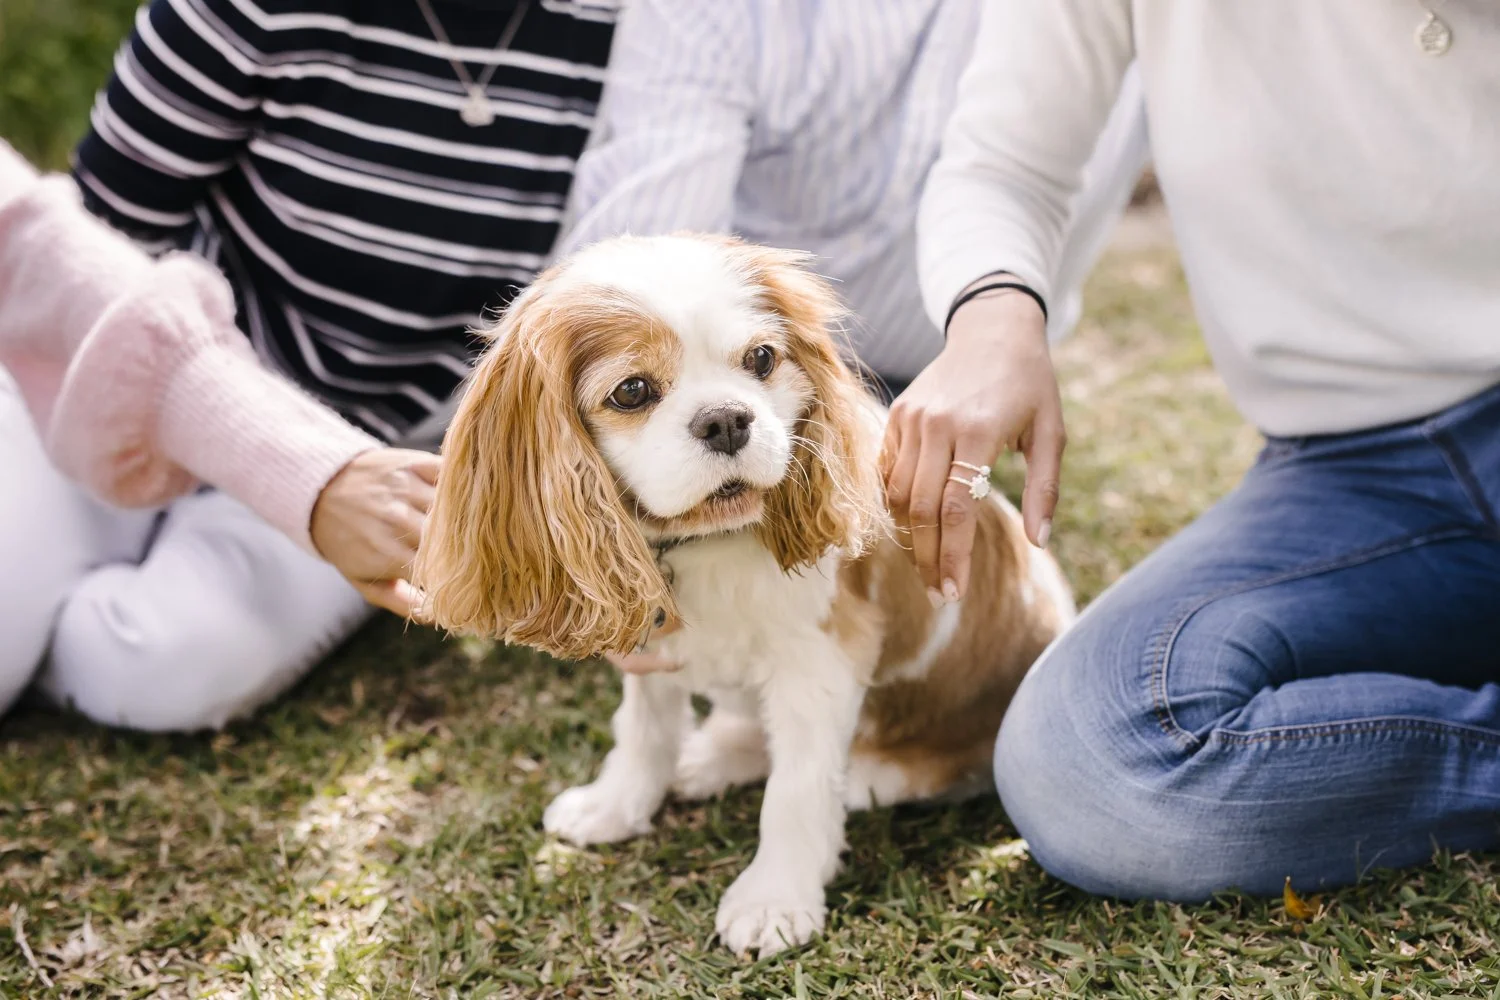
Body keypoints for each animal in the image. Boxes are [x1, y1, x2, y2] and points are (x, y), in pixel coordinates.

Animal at [414, 234, 1075, 957]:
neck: (709, 543)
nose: (726, 419)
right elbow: (644, 728)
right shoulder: (652, 644)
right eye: (633, 390)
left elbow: (796, 786)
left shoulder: (822, 659)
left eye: (761, 358)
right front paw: (615, 805)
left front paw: (775, 898)